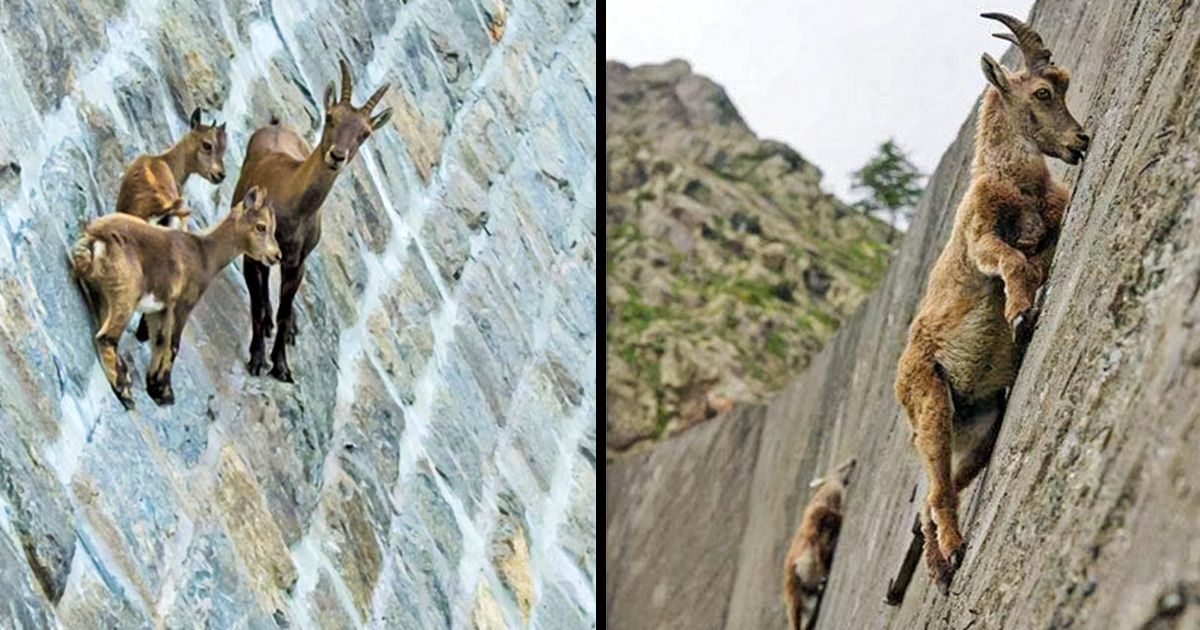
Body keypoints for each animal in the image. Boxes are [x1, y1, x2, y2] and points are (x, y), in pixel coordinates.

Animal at [71, 186, 280, 409]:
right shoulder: (184, 303)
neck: (205, 255)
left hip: (102, 295)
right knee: (106, 337)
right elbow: (173, 345)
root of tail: (94, 238)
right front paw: (165, 393)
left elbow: (160, 341)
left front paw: (155, 386)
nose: (277, 256)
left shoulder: (160, 309)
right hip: (127, 293)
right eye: (261, 227)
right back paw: (124, 391)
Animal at [231, 59, 392, 382]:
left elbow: (283, 310)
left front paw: (281, 366)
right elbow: (256, 306)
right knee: (263, 292)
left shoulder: (297, 263)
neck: (292, 208)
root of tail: (276, 125)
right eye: (330, 117)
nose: (337, 155)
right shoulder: (253, 256)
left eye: (365, 132)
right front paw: (257, 359)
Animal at [893, 13, 1090, 593]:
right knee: (937, 492)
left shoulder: (1051, 221)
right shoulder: (980, 240)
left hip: (980, 426)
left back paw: (938, 565)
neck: (1012, 183)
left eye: (1063, 86)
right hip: (931, 403)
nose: (1080, 141)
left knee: (934, 501)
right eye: (1043, 91)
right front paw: (1021, 315)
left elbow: (1037, 256)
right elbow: (1014, 263)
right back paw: (954, 555)